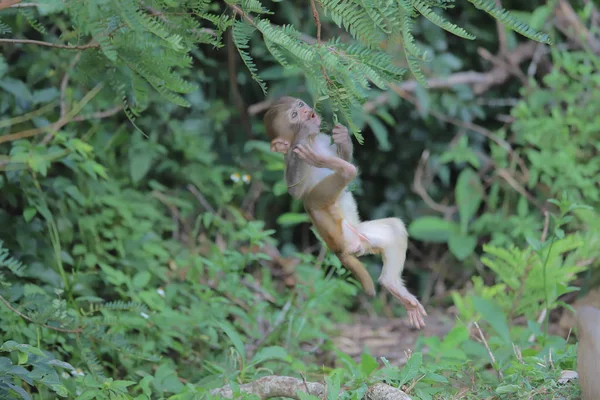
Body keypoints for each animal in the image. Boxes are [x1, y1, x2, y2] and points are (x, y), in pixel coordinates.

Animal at [264, 97, 426, 328]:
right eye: (294, 115)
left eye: (300, 104)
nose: (306, 111)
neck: (314, 143)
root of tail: (340, 249)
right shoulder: (294, 157)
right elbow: (295, 191)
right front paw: (304, 130)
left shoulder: (322, 140)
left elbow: (343, 152)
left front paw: (342, 137)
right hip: (327, 217)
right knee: (314, 197)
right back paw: (336, 167)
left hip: (361, 235)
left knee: (394, 227)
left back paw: (392, 284)